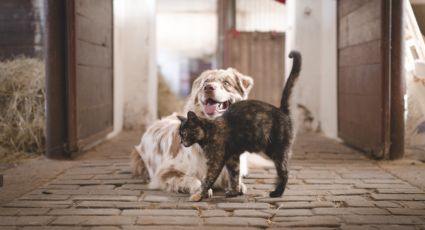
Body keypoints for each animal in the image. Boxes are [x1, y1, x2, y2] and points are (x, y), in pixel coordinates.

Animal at [131, 67, 253, 195]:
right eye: (205, 82)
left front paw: (238, 185)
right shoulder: (165, 172)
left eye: (226, 83)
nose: (208, 88)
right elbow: (191, 179)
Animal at [177, 50, 300, 201]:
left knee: (284, 172)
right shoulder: (232, 158)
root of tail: (281, 109)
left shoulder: (216, 161)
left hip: (277, 150)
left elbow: (207, 179)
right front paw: (233, 191)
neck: (210, 130)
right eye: (180, 133)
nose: (181, 142)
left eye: (185, 133)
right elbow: (234, 175)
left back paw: (277, 193)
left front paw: (198, 195)